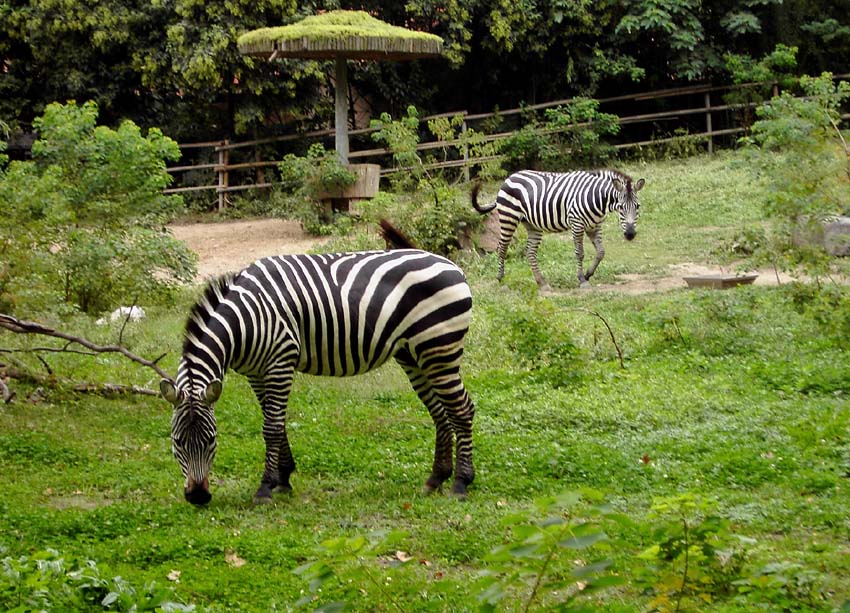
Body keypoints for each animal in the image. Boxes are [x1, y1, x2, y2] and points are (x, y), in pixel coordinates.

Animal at [161, 225, 474, 502]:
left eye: (211, 440)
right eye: (176, 442)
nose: (198, 497)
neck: (245, 321)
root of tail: (452, 265)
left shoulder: (280, 361)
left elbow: (271, 426)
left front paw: (265, 487)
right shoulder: (256, 372)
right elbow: (275, 422)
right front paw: (283, 478)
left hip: (439, 348)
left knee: (462, 409)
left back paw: (461, 482)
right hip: (414, 355)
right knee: (439, 411)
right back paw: (436, 478)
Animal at [470, 169, 644, 290]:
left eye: (637, 206)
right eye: (621, 207)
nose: (630, 234)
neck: (596, 198)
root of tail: (509, 177)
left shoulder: (595, 226)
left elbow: (601, 252)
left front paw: (588, 274)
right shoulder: (577, 224)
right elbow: (580, 253)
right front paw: (582, 279)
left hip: (533, 225)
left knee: (530, 252)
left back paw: (542, 282)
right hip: (509, 217)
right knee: (502, 248)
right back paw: (501, 279)